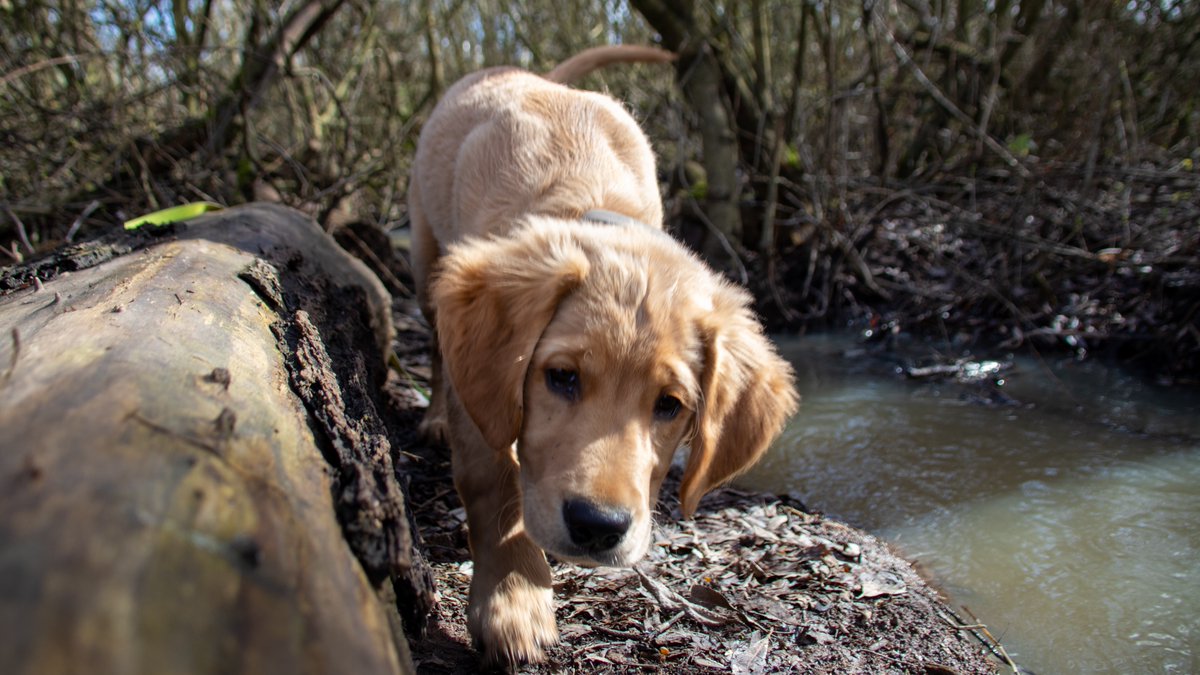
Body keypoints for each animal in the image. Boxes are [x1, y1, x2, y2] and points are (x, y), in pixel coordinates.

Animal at [408, 44, 801, 658]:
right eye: (561, 377)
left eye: (670, 405)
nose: (599, 526)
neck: (585, 199)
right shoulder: (481, 390)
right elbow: (493, 483)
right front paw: (514, 598)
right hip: (426, 256)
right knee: (434, 342)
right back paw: (433, 419)